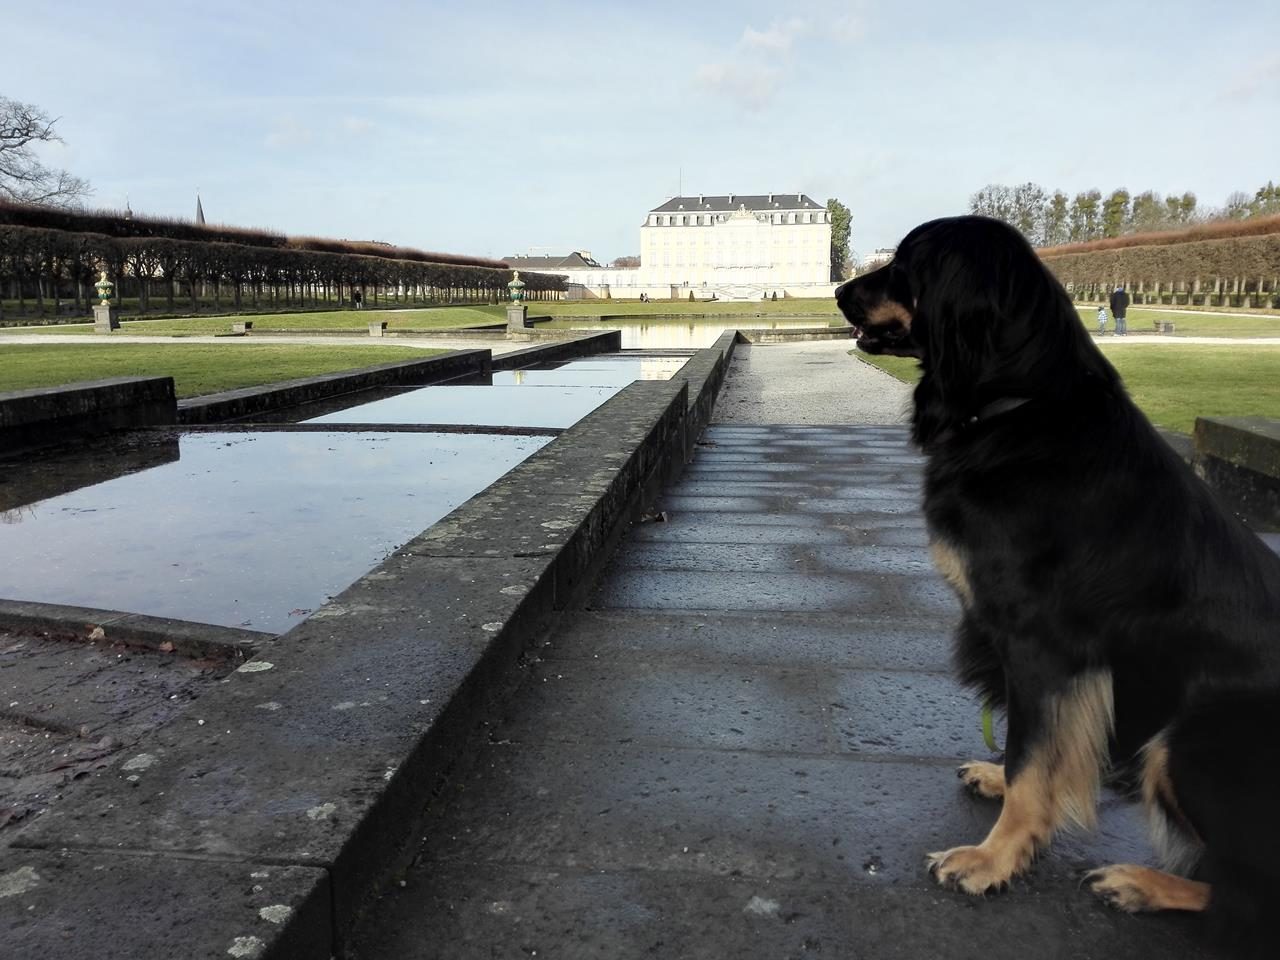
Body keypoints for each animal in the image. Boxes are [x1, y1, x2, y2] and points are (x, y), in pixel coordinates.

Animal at [834, 216, 1280, 957]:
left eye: (903, 264)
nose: (839, 291)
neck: (1019, 406)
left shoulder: (1041, 643)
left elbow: (1031, 751)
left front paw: (994, 858)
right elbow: (1045, 748)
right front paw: (1008, 804)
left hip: (1192, 737)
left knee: (1250, 897)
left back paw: (1140, 883)